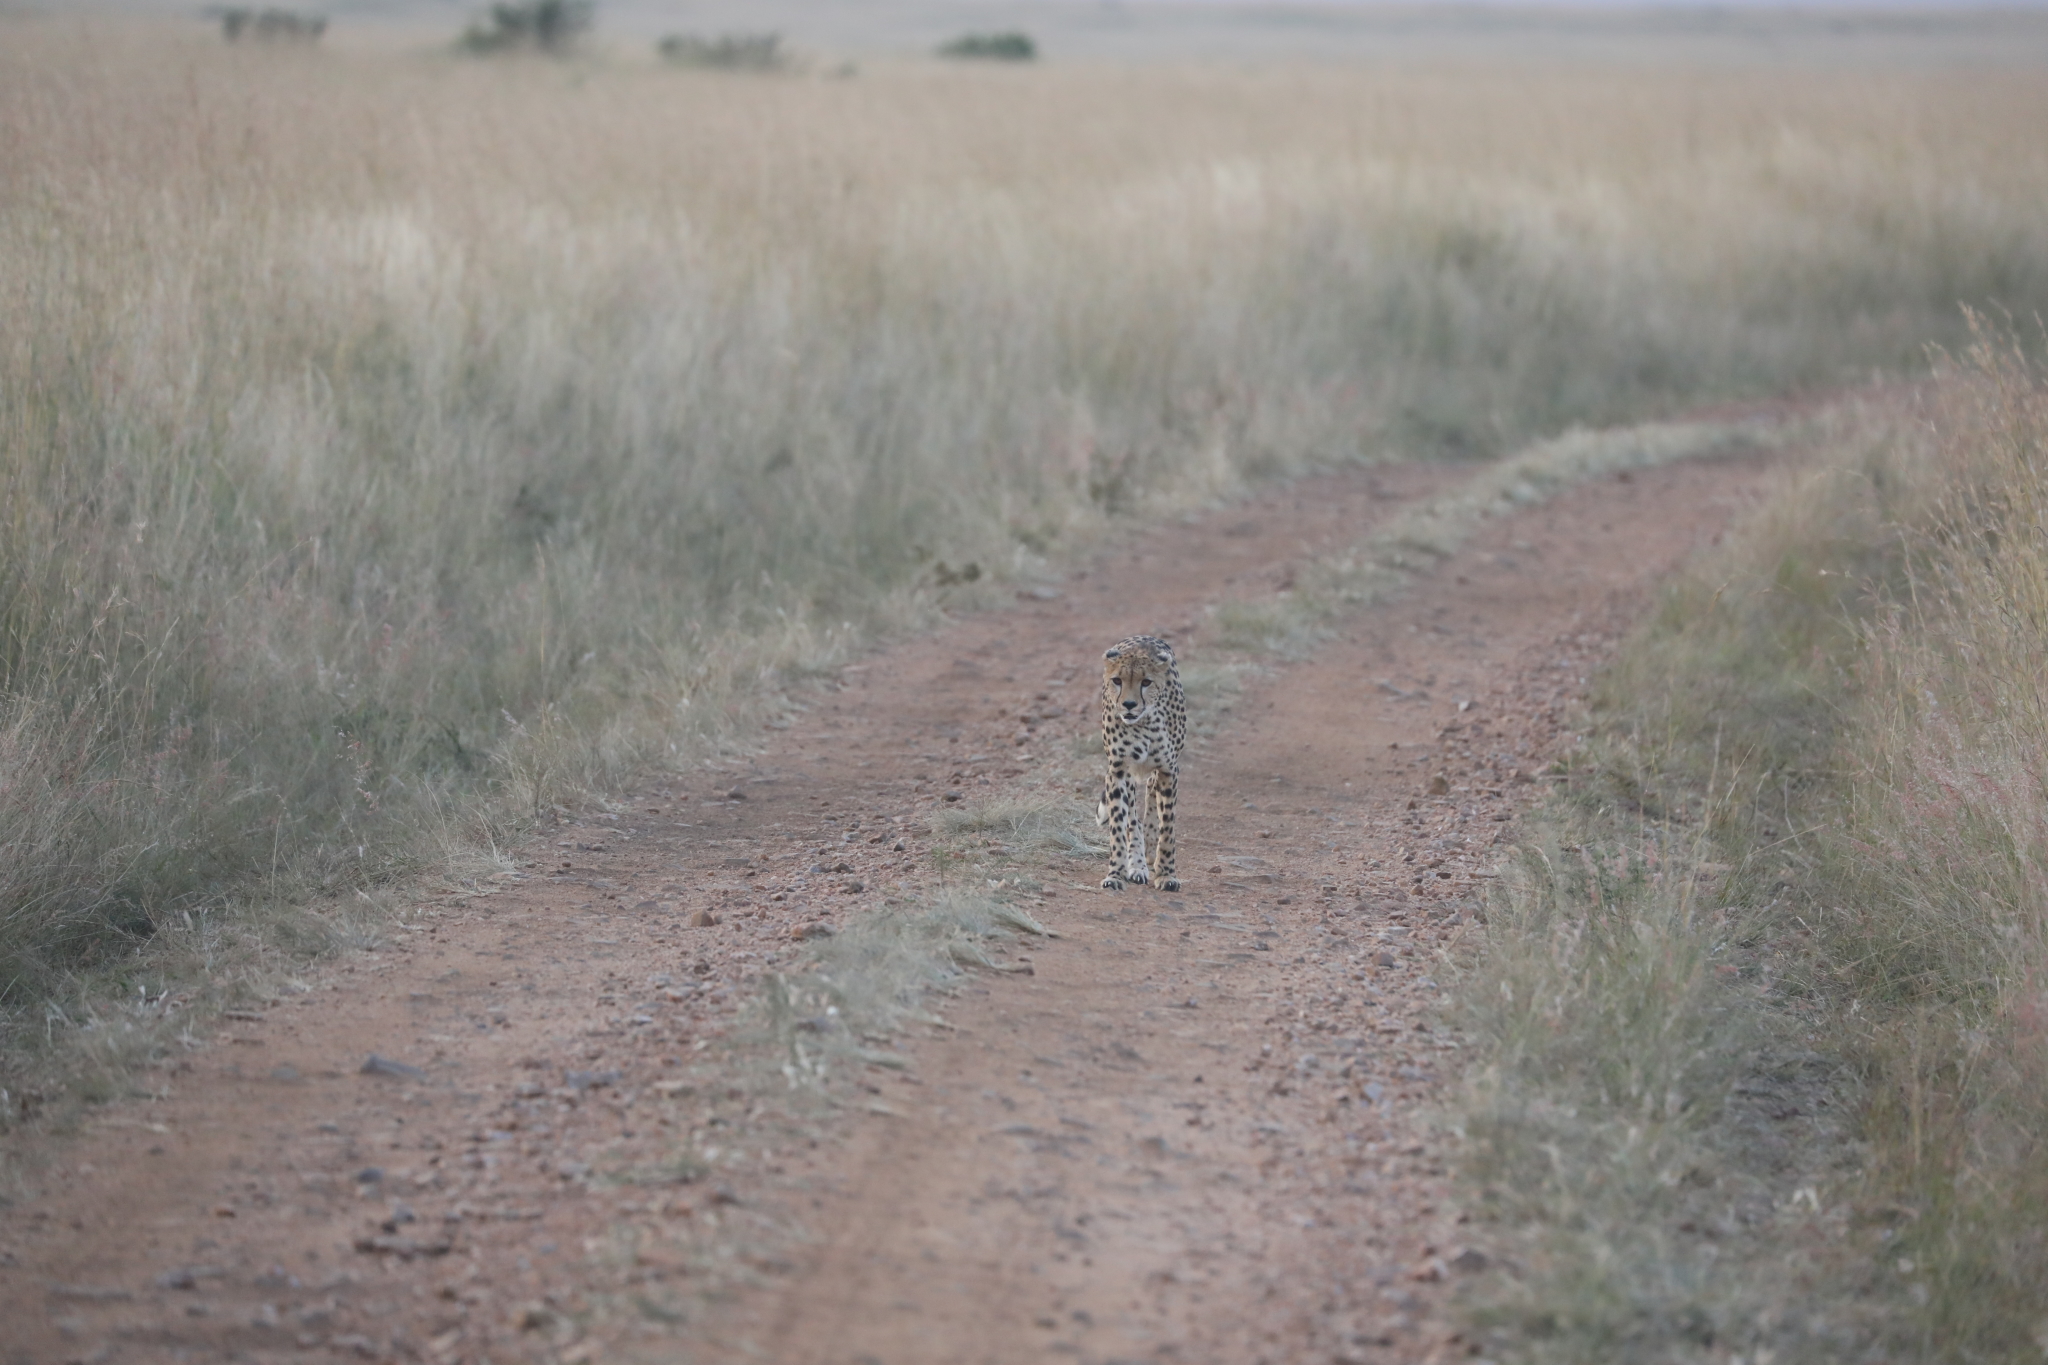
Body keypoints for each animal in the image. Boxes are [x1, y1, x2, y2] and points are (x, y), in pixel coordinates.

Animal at [1097, 634, 1196, 892]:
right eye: (1117, 680)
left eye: (1146, 682)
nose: (1129, 705)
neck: (1143, 723)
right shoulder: (1118, 770)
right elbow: (1119, 825)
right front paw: (1116, 873)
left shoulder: (1168, 769)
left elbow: (1168, 827)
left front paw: (1167, 874)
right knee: (1133, 818)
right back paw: (1138, 864)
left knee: (1151, 793)